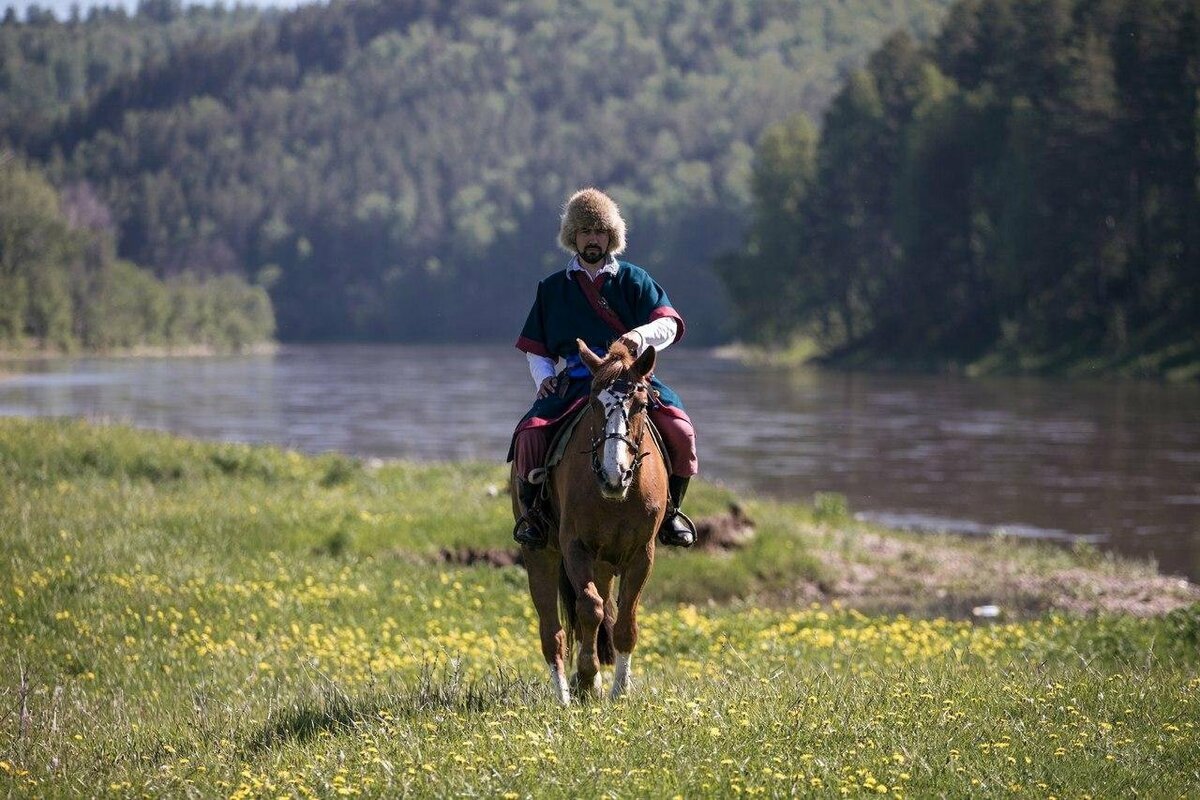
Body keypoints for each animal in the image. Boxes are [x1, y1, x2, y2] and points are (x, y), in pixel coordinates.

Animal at [511, 340, 672, 705]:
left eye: (641, 404)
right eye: (594, 405)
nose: (615, 474)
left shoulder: (642, 553)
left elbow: (625, 622)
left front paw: (620, 690)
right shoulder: (575, 547)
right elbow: (589, 608)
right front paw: (586, 678)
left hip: (605, 563)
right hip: (541, 554)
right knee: (553, 631)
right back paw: (564, 695)